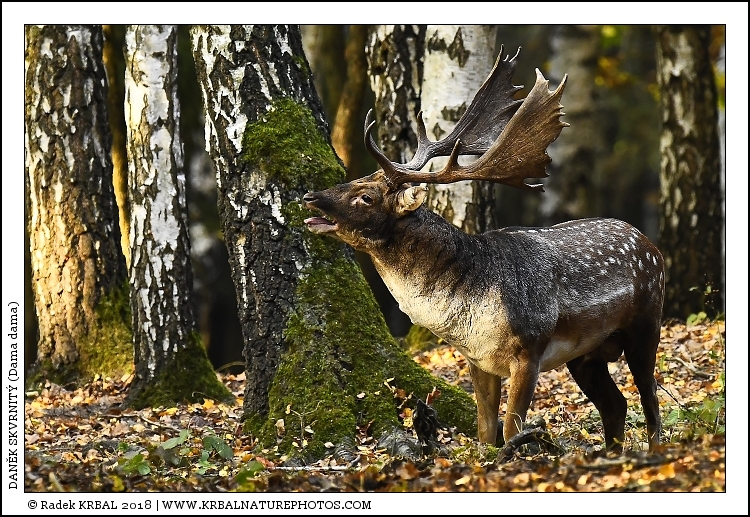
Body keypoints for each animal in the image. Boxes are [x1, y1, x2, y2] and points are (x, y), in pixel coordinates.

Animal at [303, 47, 664, 453]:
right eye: (356, 178)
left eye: (366, 196)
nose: (311, 196)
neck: (472, 313)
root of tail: (651, 245)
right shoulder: (477, 359)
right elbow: (484, 431)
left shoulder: (529, 348)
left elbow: (511, 429)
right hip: (586, 355)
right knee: (615, 404)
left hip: (646, 322)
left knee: (650, 397)